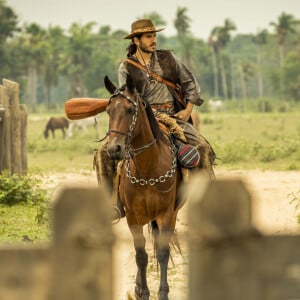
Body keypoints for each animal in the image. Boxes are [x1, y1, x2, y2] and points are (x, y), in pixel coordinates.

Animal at [100, 75, 211, 300]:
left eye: (130, 110)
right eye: (108, 111)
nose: (114, 149)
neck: (148, 169)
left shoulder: (166, 215)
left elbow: (162, 253)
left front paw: (162, 292)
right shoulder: (133, 218)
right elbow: (141, 255)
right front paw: (143, 291)